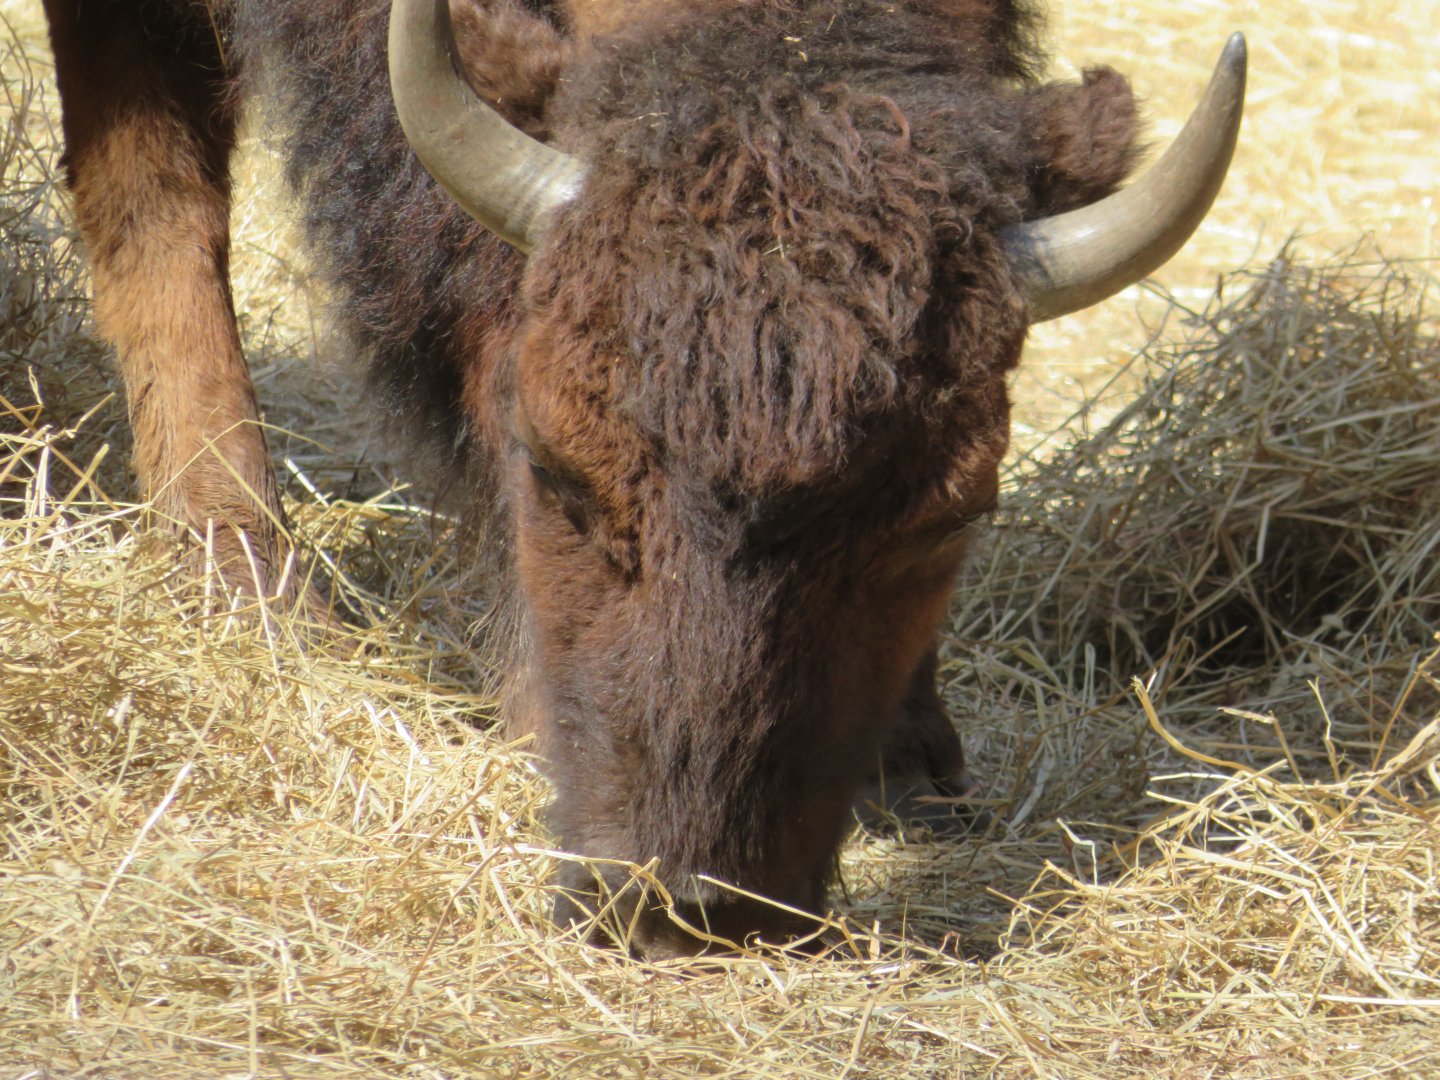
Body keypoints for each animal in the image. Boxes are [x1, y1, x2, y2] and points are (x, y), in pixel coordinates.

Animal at [40, 0, 1244, 955]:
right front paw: (240, 588)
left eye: (945, 522)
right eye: (552, 467)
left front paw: (913, 763)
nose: (687, 907)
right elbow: (157, 199)